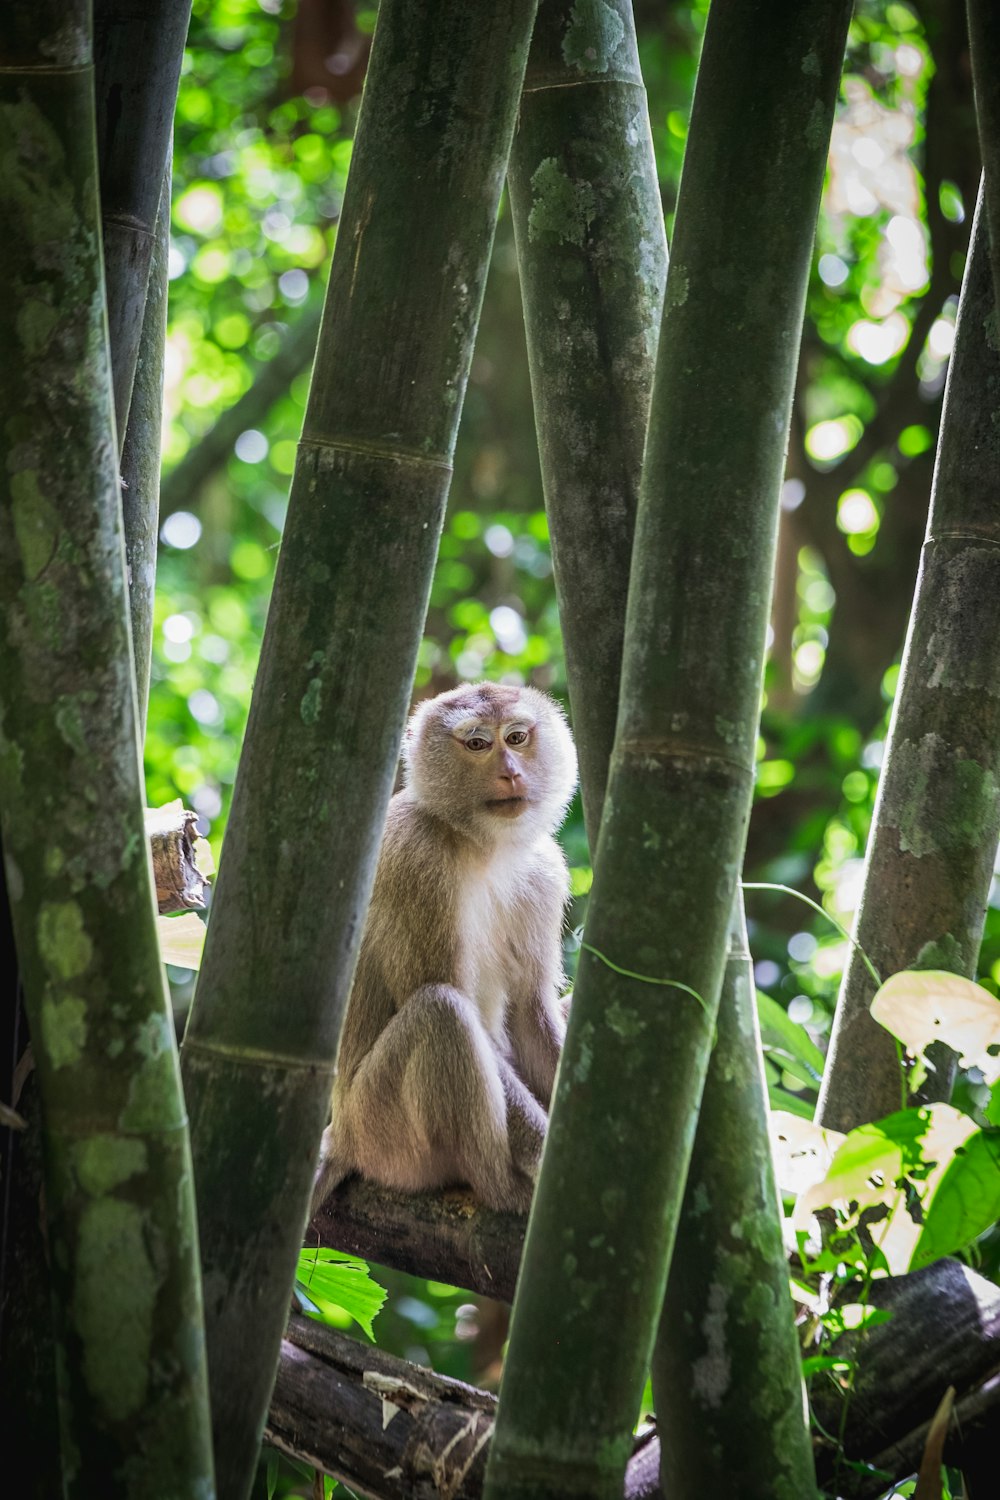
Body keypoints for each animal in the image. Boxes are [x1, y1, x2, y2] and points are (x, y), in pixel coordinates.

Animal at [313, 684, 578, 1218]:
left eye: (516, 738)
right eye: (477, 744)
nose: (511, 771)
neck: (482, 844)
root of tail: (341, 1134)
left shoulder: (544, 871)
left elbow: (532, 1013)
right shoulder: (419, 860)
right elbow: (450, 998)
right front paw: (549, 1160)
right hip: (382, 1132)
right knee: (442, 1012)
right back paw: (505, 1190)